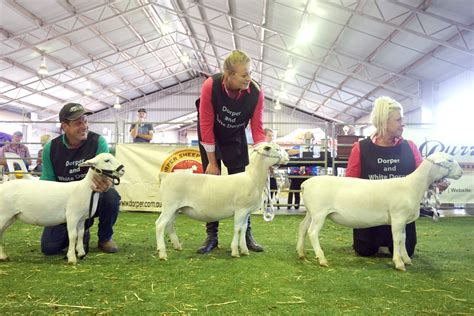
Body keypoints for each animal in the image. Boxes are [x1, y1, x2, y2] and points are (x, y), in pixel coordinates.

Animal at [156, 143, 288, 260]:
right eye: (277, 149)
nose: (288, 158)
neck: (253, 178)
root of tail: (165, 176)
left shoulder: (246, 211)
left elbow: (244, 228)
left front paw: (244, 250)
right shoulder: (240, 209)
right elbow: (238, 229)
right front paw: (235, 251)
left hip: (176, 208)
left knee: (169, 224)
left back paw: (177, 246)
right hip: (169, 205)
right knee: (160, 225)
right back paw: (162, 253)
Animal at [296, 152, 462, 270]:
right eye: (449, 160)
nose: (460, 173)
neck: (413, 186)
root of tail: (305, 184)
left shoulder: (402, 219)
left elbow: (403, 238)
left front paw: (406, 259)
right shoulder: (398, 216)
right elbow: (396, 239)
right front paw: (398, 263)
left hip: (311, 212)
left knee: (302, 228)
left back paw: (301, 253)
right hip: (319, 212)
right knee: (312, 232)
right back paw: (322, 259)